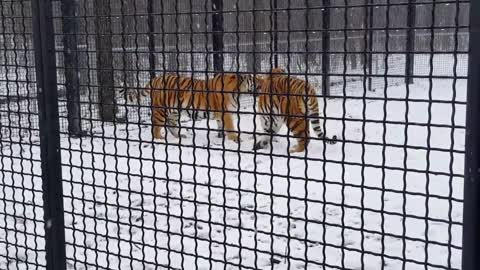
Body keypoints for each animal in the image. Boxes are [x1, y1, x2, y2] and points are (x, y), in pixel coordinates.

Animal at [120, 73, 255, 142]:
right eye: (254, 79)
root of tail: (155, 79)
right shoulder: (226, 113)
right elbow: (231, 127)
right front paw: (235, 138)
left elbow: (221, 125)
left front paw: (222, 136)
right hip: (160, 110)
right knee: (156, 129)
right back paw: (161, 139)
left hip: (174, 111)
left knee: (171, 125)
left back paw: (180, 136)